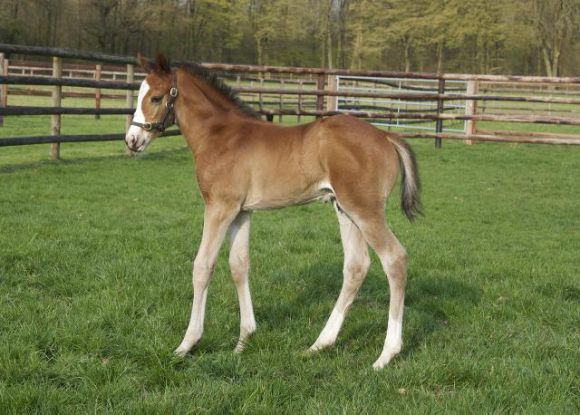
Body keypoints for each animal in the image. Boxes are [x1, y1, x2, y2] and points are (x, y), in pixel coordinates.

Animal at [124, 56, 420, 370]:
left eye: (156, 97)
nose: (131, 140)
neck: (220, 135)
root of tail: (386, 135)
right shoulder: (241, 212)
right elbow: (239, 265)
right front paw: (244, 340)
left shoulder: (219, 207)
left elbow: (203, 267)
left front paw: (186, 344)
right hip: (345, 209)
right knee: (356, 266)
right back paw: (320, 344)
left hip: (365, 210)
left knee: (395, 259)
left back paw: (386, 355)